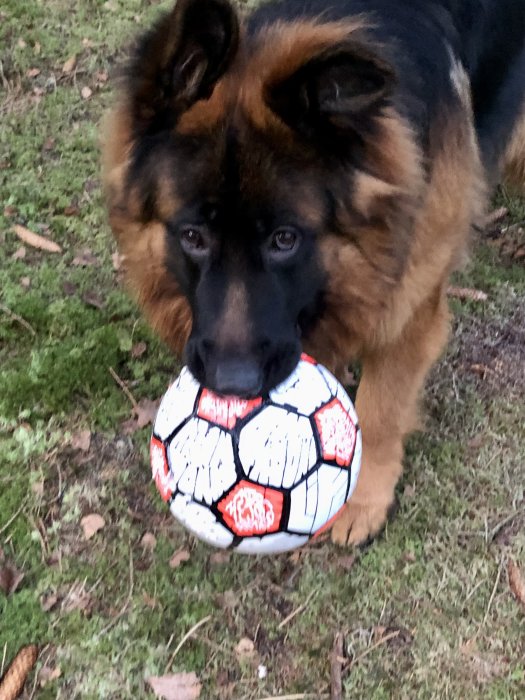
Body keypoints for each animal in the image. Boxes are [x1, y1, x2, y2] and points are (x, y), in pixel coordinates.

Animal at [104, 0, 524, 548]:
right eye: (193, 236)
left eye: (285, 239)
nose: (233, 386)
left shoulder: (410, 307)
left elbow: (382, 407)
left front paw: (362, 496)